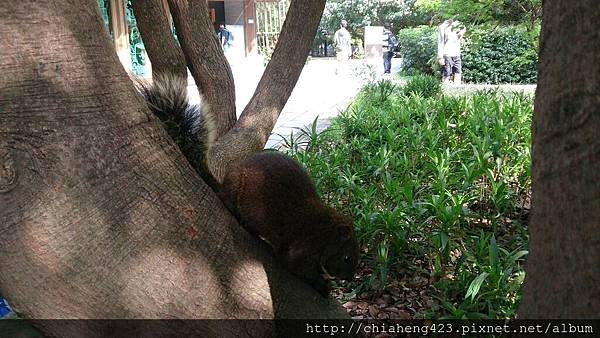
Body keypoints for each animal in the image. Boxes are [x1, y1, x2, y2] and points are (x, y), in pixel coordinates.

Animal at [138, 73, 358, 296]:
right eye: (347, 257)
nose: (350, 277)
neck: (327, 233)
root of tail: (222, 183)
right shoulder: (304, 246)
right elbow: (296, 267)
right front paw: (323, 286)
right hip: (236, 189)